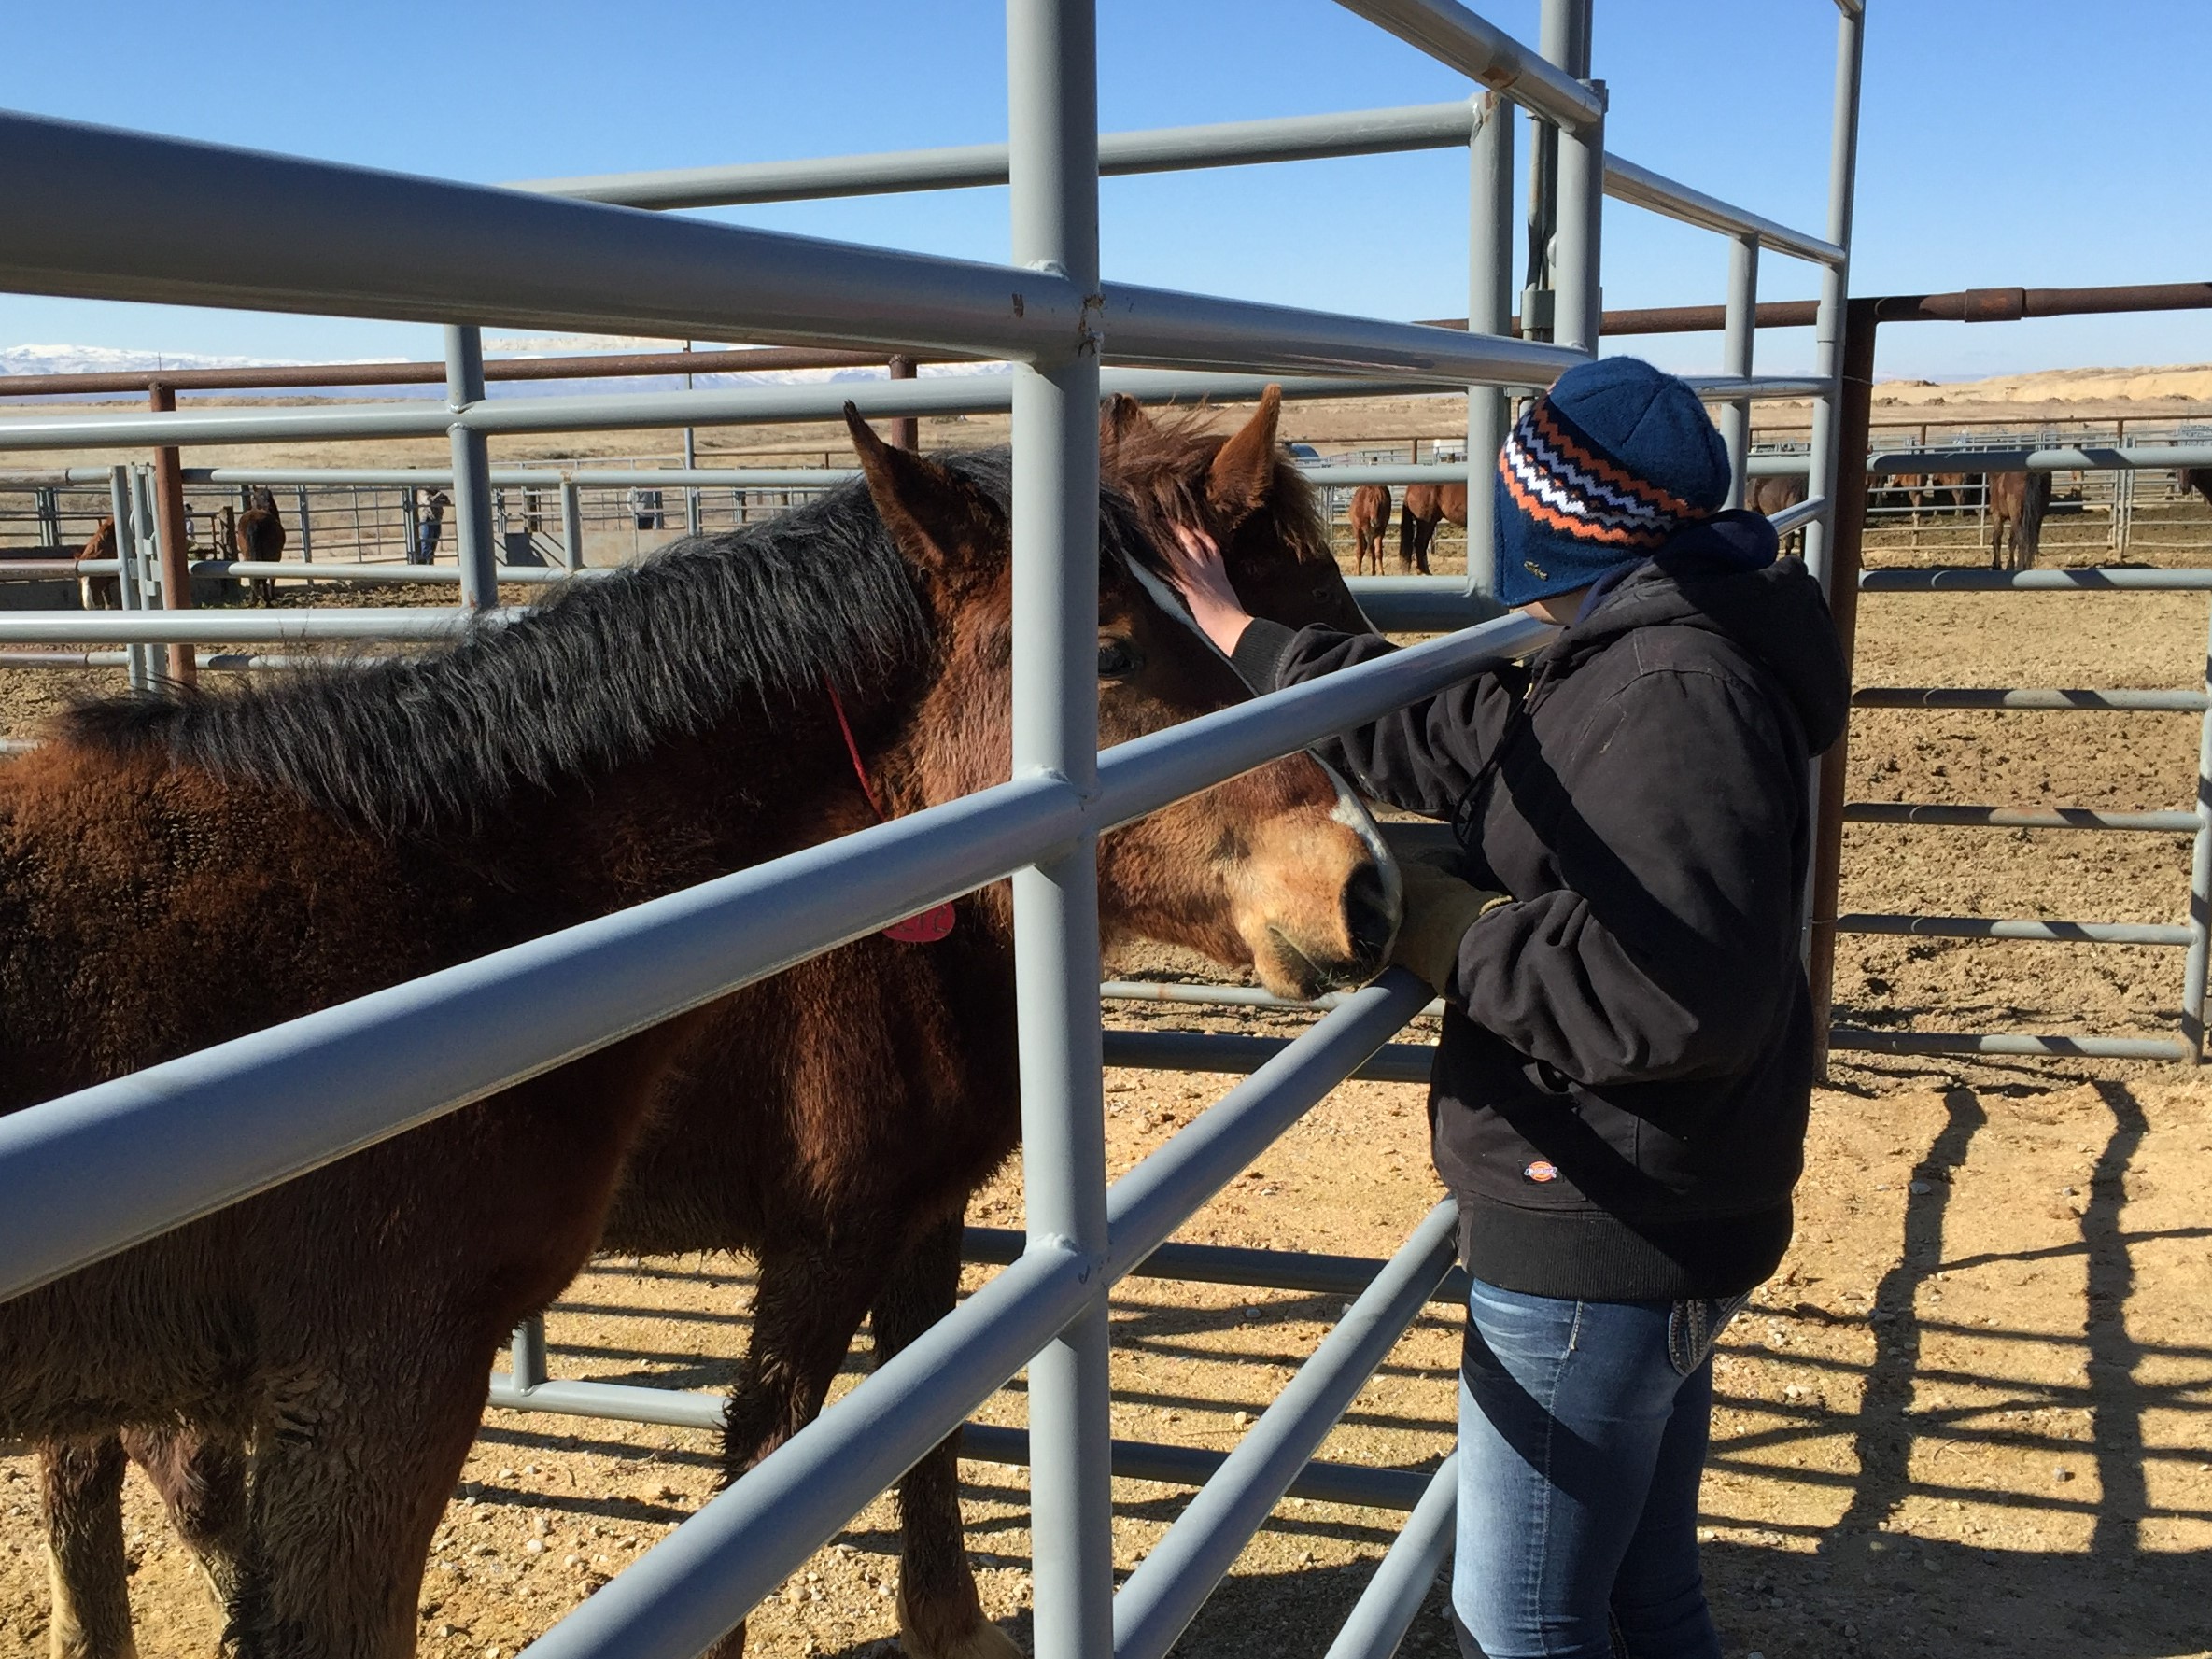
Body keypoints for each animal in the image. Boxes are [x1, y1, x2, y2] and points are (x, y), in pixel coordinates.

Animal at [15, 406, 1398, 1659]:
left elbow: (928, 1416)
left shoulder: (925, 1204)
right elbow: (767, 1469)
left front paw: (951, 1628)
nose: (1365, 884)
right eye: (1110, 654)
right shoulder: (811, 1237)